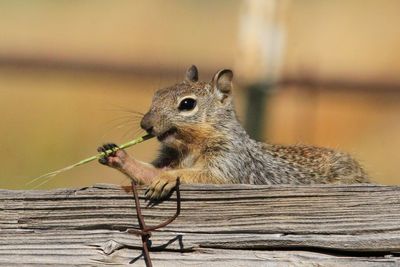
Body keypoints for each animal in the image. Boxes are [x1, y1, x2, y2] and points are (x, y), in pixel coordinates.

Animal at [97, 64, 368, 199]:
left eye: (187, 104)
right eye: (156, 94)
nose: (146, 125)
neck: (189, 148)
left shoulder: (229, 163)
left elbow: (205, 177)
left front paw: (169, 179)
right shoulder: (169, 158)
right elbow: (149, 172)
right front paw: (116, 155)